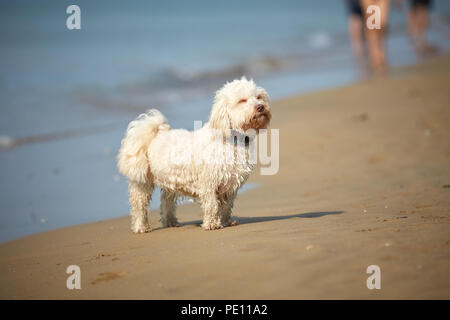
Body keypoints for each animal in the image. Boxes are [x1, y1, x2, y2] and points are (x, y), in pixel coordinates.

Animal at [118, 77, 270, 232]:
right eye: (242, 100)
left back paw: (170, 222)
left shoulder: (230, 185)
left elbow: (227, 206)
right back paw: (140, 227)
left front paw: (225, 221)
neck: (230, 139)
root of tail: (155, 135)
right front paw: (212, 224)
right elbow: (212, 205)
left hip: (170, 182)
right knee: (139, 206)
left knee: (166, 202)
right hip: (142, 182)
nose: (260, 107)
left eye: (259, 97)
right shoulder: (209, 183)